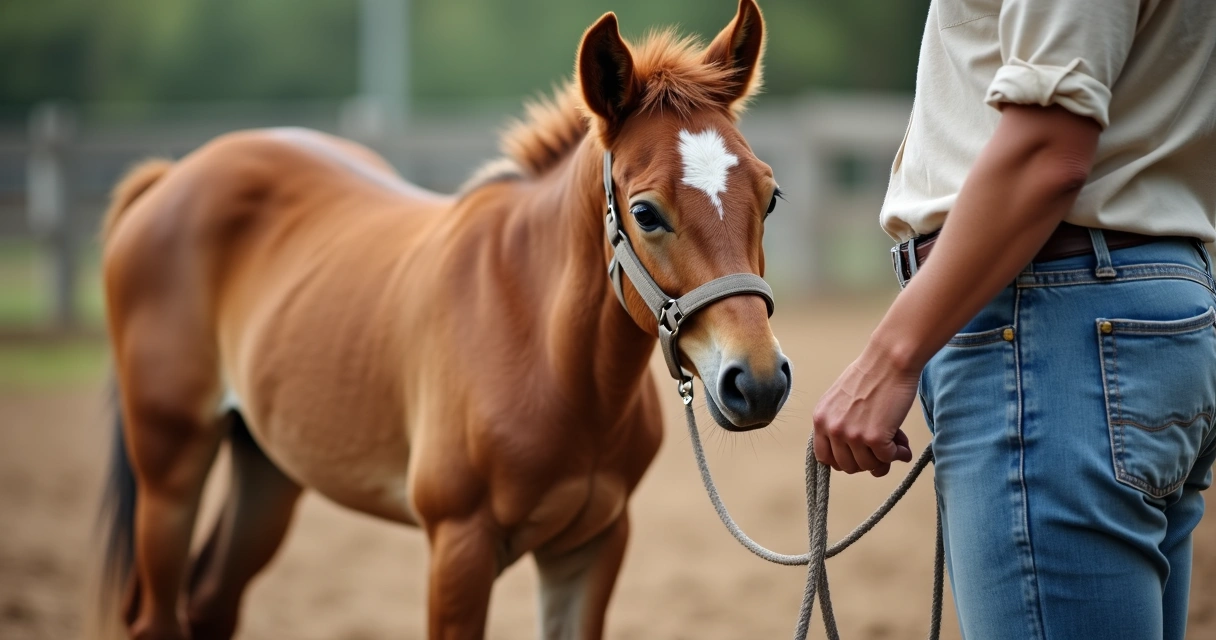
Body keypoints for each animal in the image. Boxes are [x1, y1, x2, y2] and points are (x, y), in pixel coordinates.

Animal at [93, 1, 790, 637]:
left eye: (770, 197)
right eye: (644, 212)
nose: (756, 383)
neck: (548, 355)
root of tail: (170, 176)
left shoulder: (592, 544)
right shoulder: (459, 547)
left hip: (268, 466)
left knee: (210, 600)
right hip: (170, 465)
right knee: (156, 616)